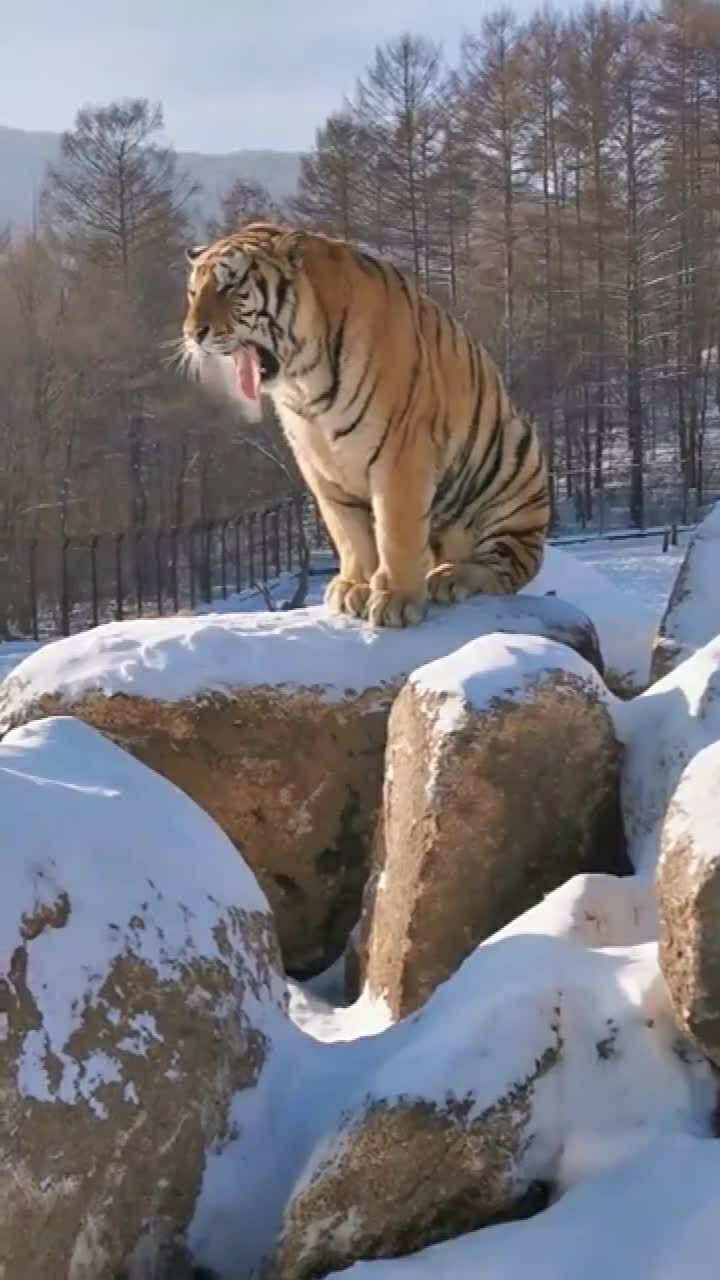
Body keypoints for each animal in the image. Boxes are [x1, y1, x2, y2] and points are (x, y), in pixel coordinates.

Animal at [182, 222, 550, 627]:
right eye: (193, 292)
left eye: (231, 286)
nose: (192, 333)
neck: (303, 380)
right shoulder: (318, 462)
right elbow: (348, 530)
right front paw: (355, 587)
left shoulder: (401, 451)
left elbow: (397, 529)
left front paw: (396, 600)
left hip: (517, 459)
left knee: (509, 566)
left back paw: (450, 576)